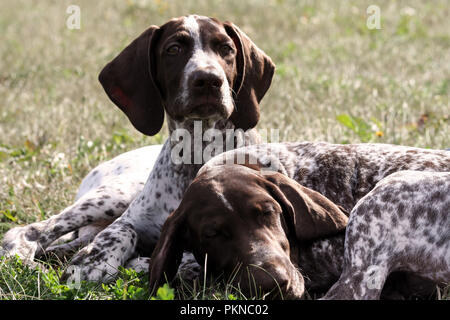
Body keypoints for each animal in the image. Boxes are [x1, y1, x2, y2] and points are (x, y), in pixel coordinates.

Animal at [0, 15, 276, 282]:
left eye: (226, 49)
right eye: (173, 49)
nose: (208, 79)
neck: (198, 151)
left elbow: (192, 261)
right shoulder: (132, 220)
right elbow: (122, 233)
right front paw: (96, 260)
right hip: (113, 196)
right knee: (29, 231)